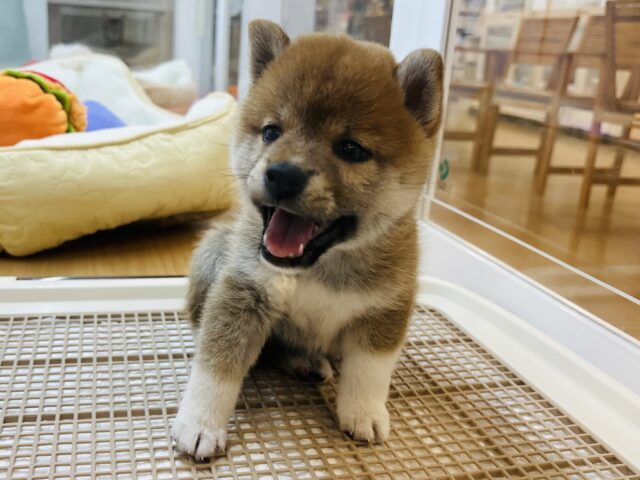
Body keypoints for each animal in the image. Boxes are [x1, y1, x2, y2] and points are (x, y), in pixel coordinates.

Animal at [172, 19, 442, 462]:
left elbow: (369, 374)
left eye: (351, 148)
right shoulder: (243, 293)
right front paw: (200, 423)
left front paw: (364, 412)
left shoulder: (386, 310)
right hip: (213, 252)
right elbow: (217, 367)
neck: (319, 268)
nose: (283, 174)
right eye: (271, 131)